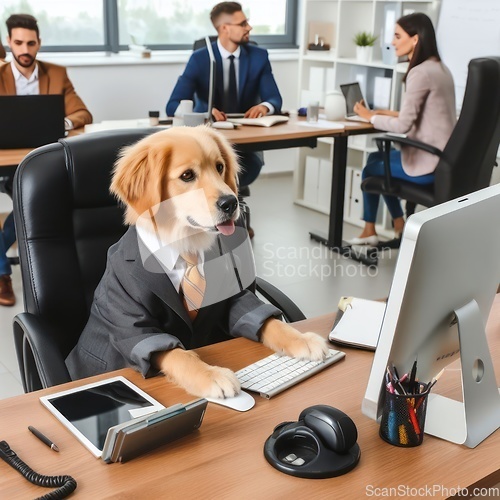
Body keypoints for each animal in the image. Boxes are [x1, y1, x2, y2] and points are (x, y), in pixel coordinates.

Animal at [69, 125, 328, 398]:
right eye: (187, 175)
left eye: (219, 167)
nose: (231, 203)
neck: (186, 246)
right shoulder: (134, 324)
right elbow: (178, 354)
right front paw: (212, 375)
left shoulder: (234, 299)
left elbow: (269, 322)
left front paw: (302, 339)